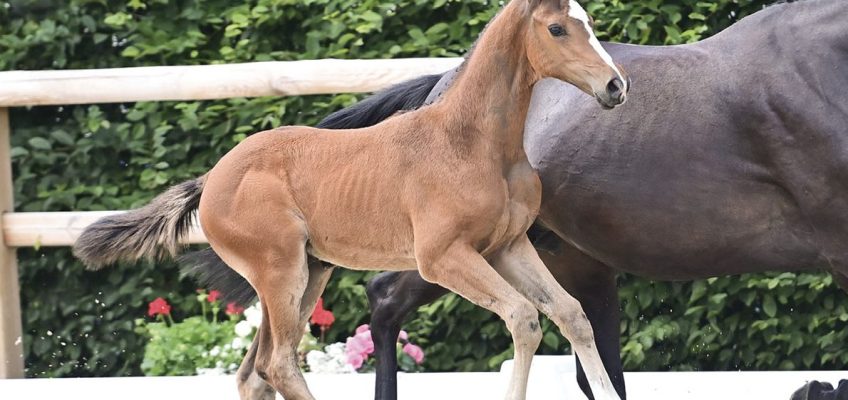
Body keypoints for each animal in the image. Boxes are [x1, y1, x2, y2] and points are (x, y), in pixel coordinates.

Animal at [73, 1, 628, 398]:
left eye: (591, 22)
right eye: (557, 29)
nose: (615, 86)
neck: (475, 142)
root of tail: (212, 178)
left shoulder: (508, 246)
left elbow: (571, 314)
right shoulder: (442, 257)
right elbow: (523, 318)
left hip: (309, 273)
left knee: (255, 371)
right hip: (280, 273)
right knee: (278, 363)